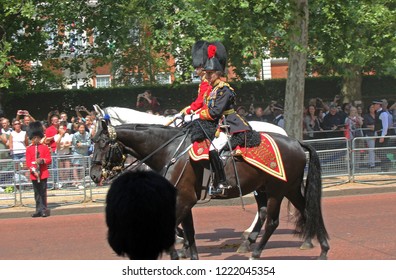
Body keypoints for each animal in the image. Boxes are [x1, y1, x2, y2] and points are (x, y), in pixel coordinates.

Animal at [91, 120, 330, 260]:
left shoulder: (184, 200)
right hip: (287, 188)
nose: (93, 175)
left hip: (276, 190)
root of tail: (296, 142)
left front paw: (174, 252)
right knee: (308, 212)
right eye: (92, 142)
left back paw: (255, 252)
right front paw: (187, 254)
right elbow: (189, 232)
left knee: (272, 221)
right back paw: (322, 249)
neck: (170, 151)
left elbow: (174, 229)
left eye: (102, 143)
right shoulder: (184, 201)